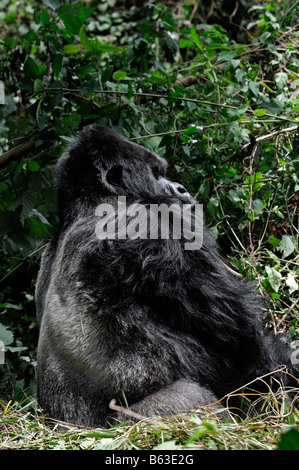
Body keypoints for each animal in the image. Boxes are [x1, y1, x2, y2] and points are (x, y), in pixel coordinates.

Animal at [35, 125, 299, 426]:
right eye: (156, 172)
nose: (181, 188)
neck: (91, 203)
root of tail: (61, 426)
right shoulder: (157, 223)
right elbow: (242, 344)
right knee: (189, 395)